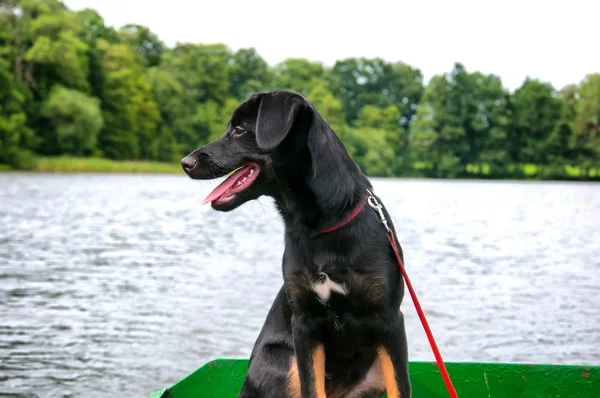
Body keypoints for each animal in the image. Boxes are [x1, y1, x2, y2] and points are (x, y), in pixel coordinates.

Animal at [180, 91, 410, 398]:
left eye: (239, 130)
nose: (185, 162)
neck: (320, 228)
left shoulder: (389, 321)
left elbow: (401, 386)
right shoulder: (304, 325)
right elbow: (312, 387)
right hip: (283, 362)